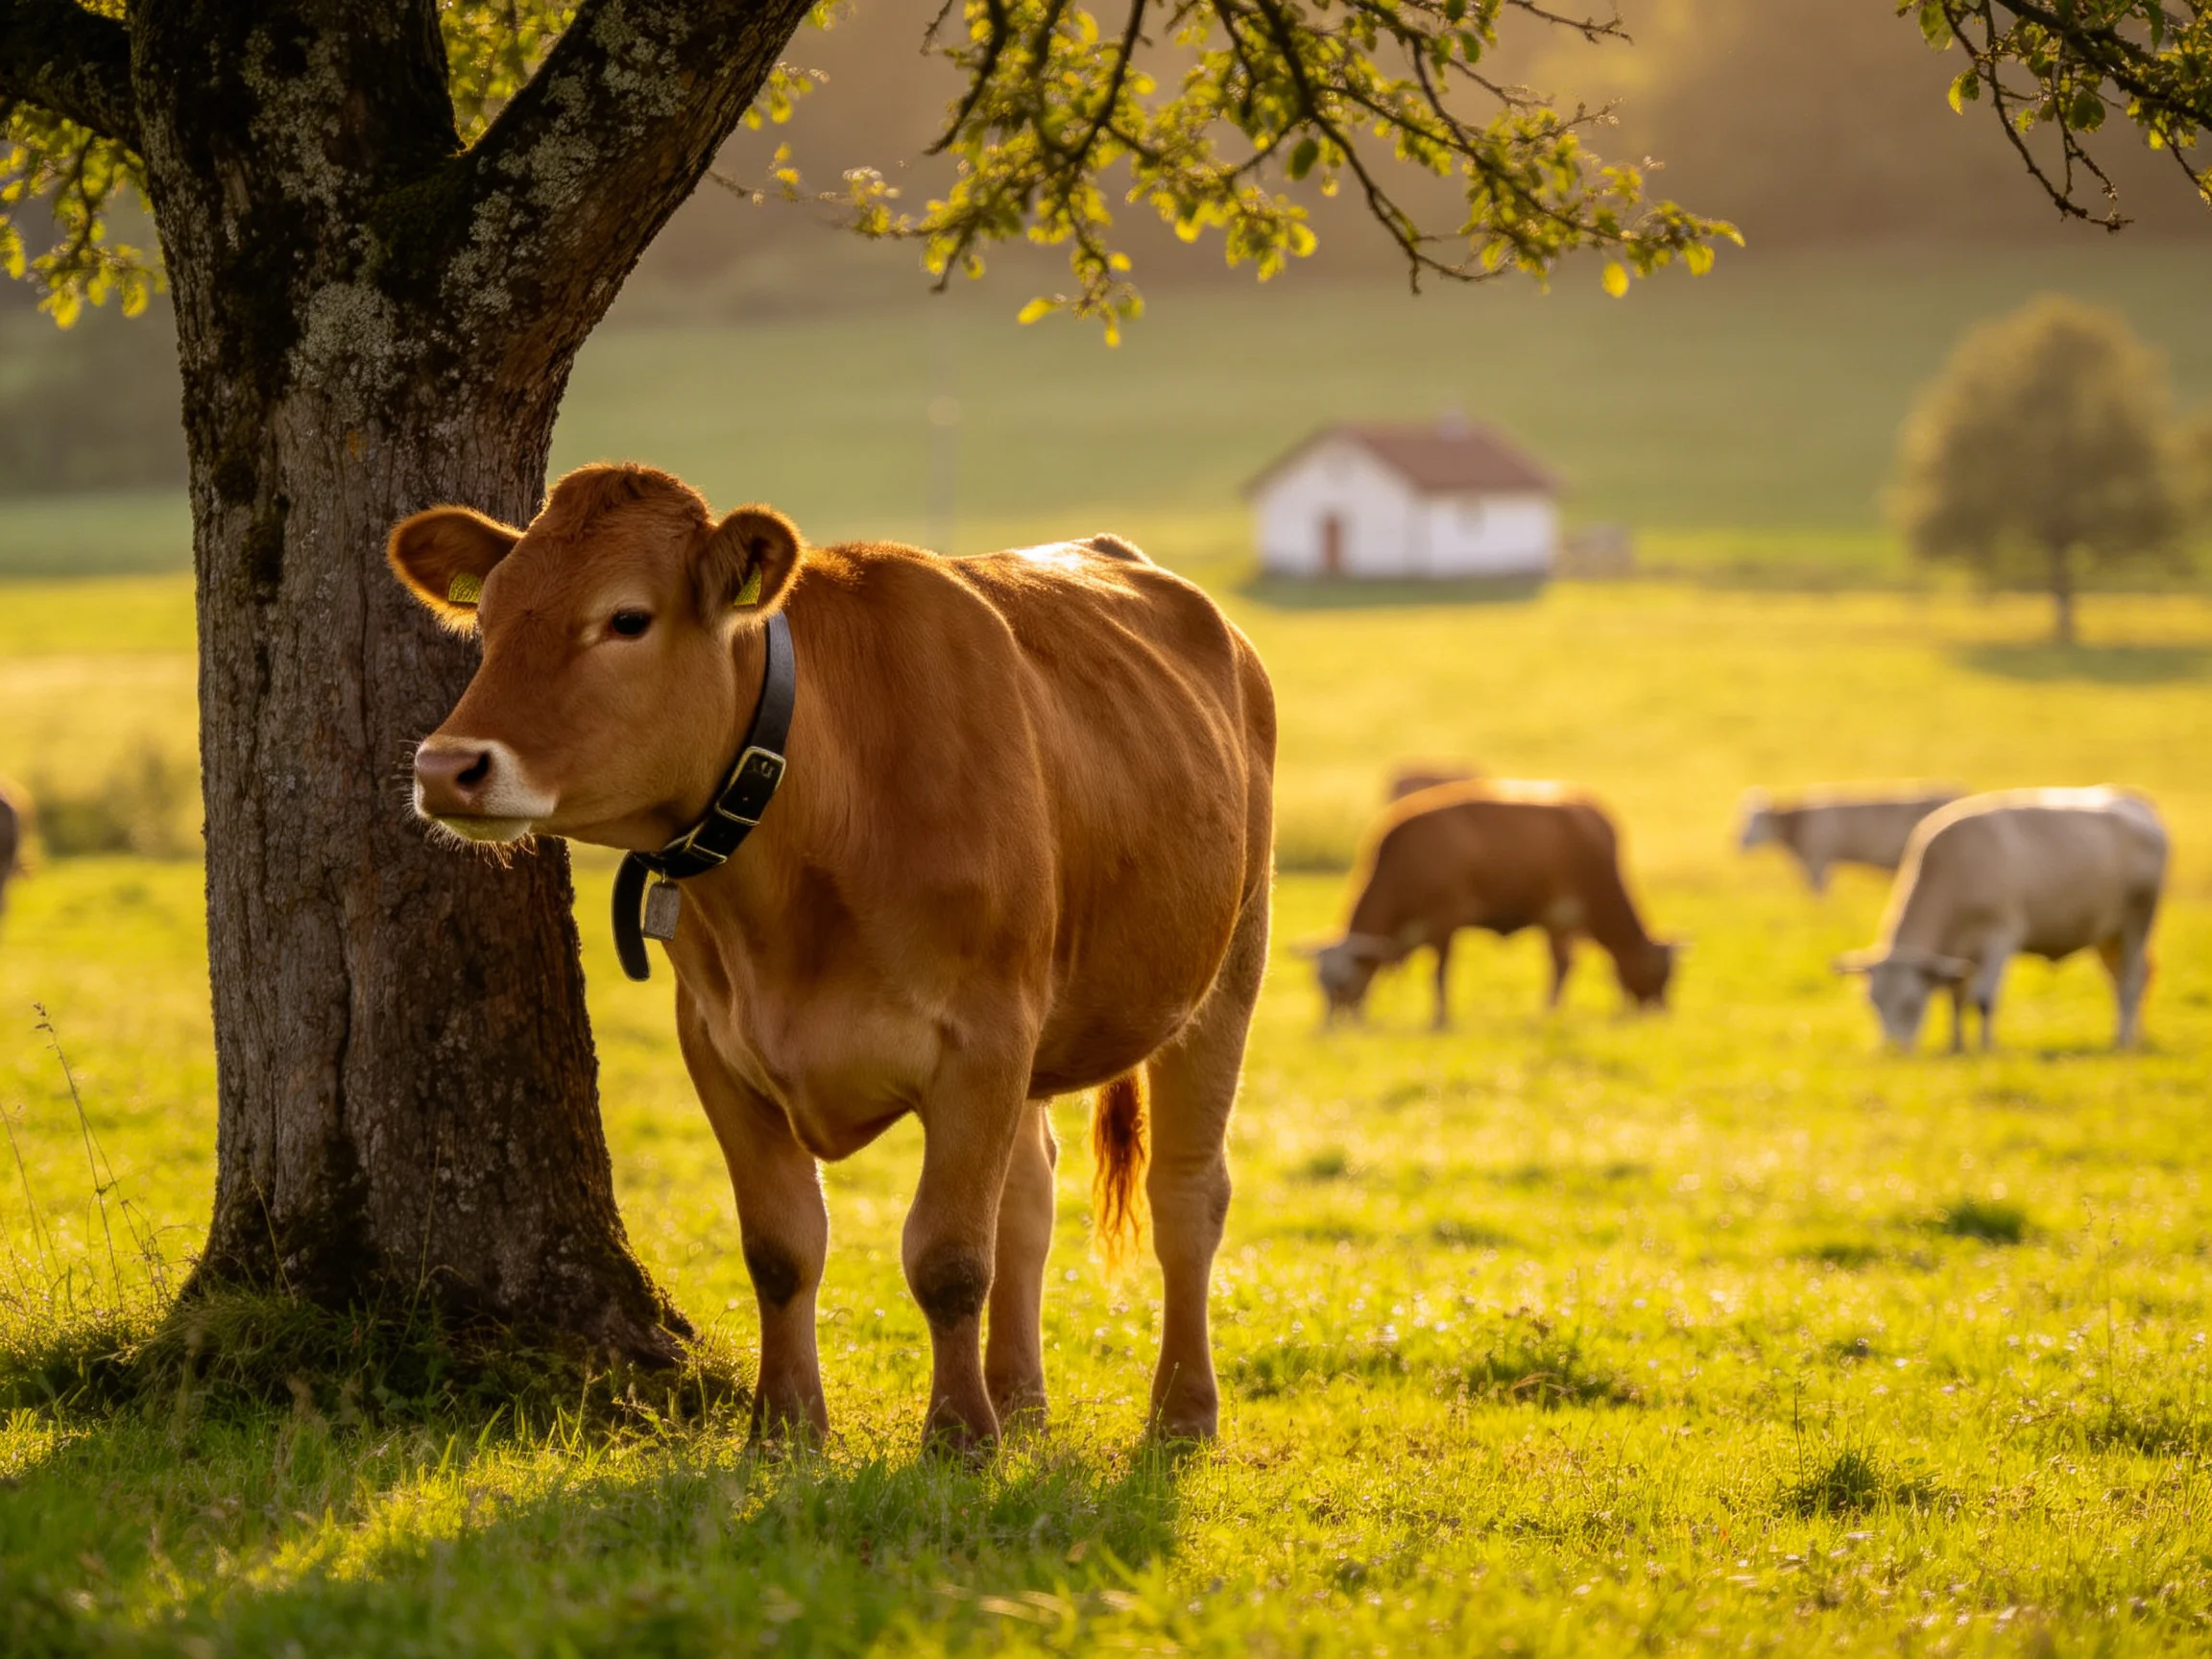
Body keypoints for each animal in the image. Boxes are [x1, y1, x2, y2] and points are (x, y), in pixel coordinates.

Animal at [388, 464, 1275, 1453]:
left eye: (626, 619)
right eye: (491, 614)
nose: (447, 766)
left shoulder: (984, 1040)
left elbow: (949, 1257)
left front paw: (958, 1439)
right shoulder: (719, 1046)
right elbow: (781, 1249)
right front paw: (785, 1428)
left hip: (1227, 967)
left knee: (1186, 1196)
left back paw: (1181, 1413)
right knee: (1028, 1199)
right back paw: (1020, 1401)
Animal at [1301, 781, 1675, 1027]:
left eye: (1341, 982)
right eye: (1319, 982)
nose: (1329, 1027)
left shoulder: (1446, 919)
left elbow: (1440, 973)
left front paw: (1441, 1019)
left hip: (1570, 907)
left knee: (1575, 961)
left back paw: (1554, 1012)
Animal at [1833, 787, 2166, 1053]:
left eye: (1911, 1003)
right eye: (1872, 1003)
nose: (1893, 1051)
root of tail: (2137, 803)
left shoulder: (2000, 936)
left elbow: (1983, 999)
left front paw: (1985, 1048)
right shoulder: (1956, 954)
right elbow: (1956, 997)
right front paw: (1957, 1046)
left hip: (2138, 920)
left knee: (2130, 981)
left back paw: (2123, 1041)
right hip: (2107, 935)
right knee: (2123, 978)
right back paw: (2132, 1036)